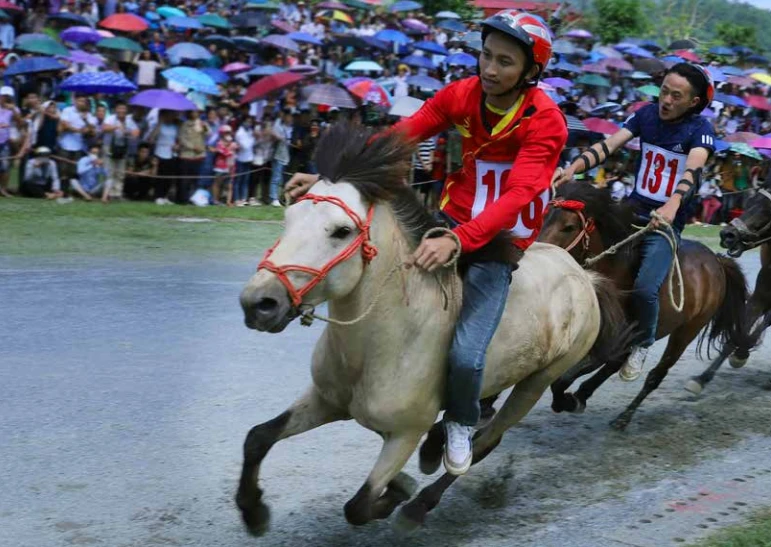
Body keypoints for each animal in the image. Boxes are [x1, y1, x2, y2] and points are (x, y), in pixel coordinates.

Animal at [238, 123, 632, 536]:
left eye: (341, 231)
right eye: (289, 218)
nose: (259, 303)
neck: (379, 345)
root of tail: (584, 275)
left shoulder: (403, 434)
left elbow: (359, 505)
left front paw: (399, 491)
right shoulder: (325, 400)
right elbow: (258, 437)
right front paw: (254, 512)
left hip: (536, 382)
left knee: (486, 442)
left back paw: (420, 502)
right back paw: (435, 447)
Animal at [536, 182, 748, 430]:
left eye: (568, 227)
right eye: (544, 216)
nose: (542, 256)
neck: (615, 275)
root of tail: (716, 260)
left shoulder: (615, 340)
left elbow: (564, 379)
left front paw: (569, 400)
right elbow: (562, 378)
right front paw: (573, 399)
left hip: (687, 330)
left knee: (656, 375)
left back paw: (623, 417)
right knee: (617, 365)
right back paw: (585, 395)